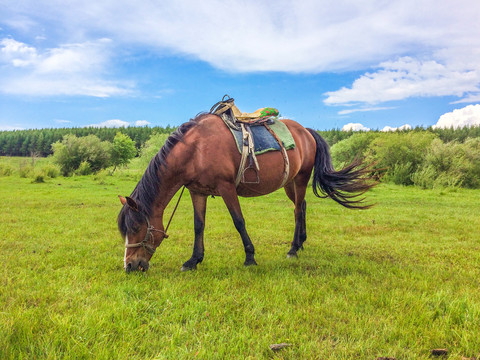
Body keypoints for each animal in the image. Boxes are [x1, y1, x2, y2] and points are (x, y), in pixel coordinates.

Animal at [117, 112, 376, 272]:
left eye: (137, 228)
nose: (129, 266)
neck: (196, 150)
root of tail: (306, 131)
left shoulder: (227, 188)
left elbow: (238, 221)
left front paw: (250, 257)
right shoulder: (197, 192)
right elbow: (199, 225)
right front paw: (193, 260)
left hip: (301, 178)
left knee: (296, 211)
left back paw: (293, 249)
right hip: (290, 182)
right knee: (301, 207)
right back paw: (301, 243)